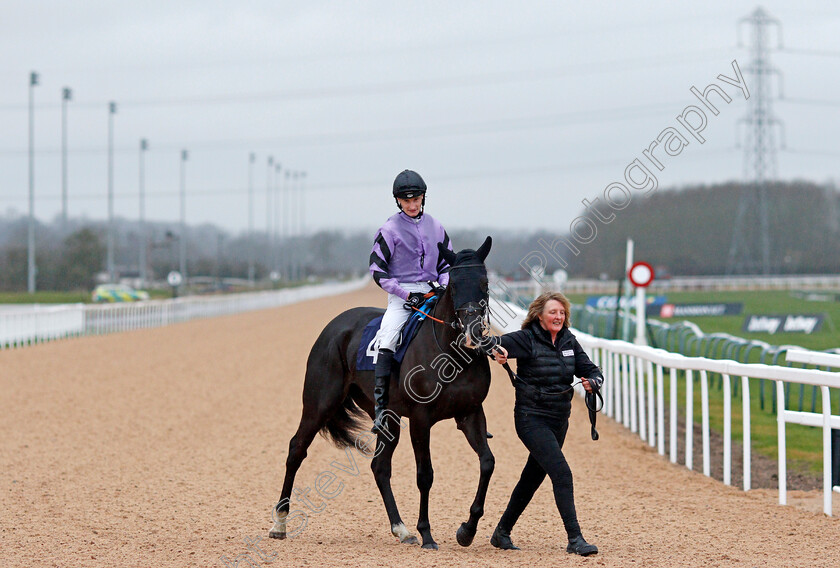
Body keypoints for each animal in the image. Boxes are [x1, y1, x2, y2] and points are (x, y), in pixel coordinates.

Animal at [270, 236, 496, 552]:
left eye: (484, 282)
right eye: (454, 284)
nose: (472, 332)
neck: (451, 353)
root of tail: (335, 326)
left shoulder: (470, 413)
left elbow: (487, 462)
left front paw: (467, 529)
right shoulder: (421, 419)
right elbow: (425, 475)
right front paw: (427, 534)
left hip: (386, 416)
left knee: (379, 466)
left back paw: (401, 529)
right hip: (318, 403)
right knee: (296, 449)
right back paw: (279, 524)